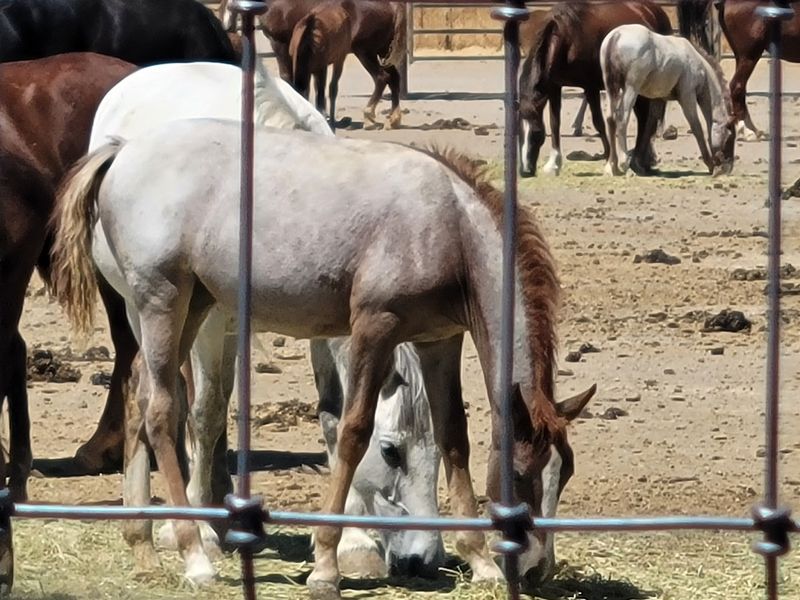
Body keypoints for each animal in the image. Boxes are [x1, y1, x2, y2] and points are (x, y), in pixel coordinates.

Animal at [51, 119, 596, 588]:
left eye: (565, 472)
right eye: (520, 475)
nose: (535, 570)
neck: (448, 223)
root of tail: (123, 150)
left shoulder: (438, 340)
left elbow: (453, 438)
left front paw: (479, 563)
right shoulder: (375, 328)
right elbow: (353, 432)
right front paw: (327, 563)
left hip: (189, 306)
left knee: (139, 398)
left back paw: (142, 547)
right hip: (161, 301)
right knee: (163, 410)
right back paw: (195, 555)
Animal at [83, 60, 443, 578]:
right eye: (392, 451)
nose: (424, 559)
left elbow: (334, 414)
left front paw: (353, 544)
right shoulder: (211, 325)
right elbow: (206, 414)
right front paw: (200, 535)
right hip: (151, 310)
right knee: (160, 396)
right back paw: (161, 525)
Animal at [259, 0, 407, 128]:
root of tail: (391, 5)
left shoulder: (280, 45)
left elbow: (287, 79)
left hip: (365, 52)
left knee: (381, 78)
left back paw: (368, 115)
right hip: (382, 51)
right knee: (394, 77)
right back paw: (394, 119)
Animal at [518, 0, 672, 177]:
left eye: (537, 132)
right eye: (518, 132)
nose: (525, 171)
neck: (568, 39)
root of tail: (653, 10)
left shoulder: (590, 86)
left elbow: (598, 122)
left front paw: (610, 161)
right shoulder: (554, 87)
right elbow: (554, 122)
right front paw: (554, 165)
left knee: (646, 119)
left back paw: (639, 162)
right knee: (647, 118)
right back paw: (645, 161)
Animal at [601, 24, 736, 176]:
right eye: (730, 136)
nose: (727, 168)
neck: (700, 66)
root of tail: (616, 35)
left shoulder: (658, 98)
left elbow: (650, 125)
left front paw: (637, 164)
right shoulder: (687, 96)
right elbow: (696, 127)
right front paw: (710, 164)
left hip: (611, 88)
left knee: (610, 119)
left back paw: (612, 166)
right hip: (631, 88)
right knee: (622, 117)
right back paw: (623, 163)